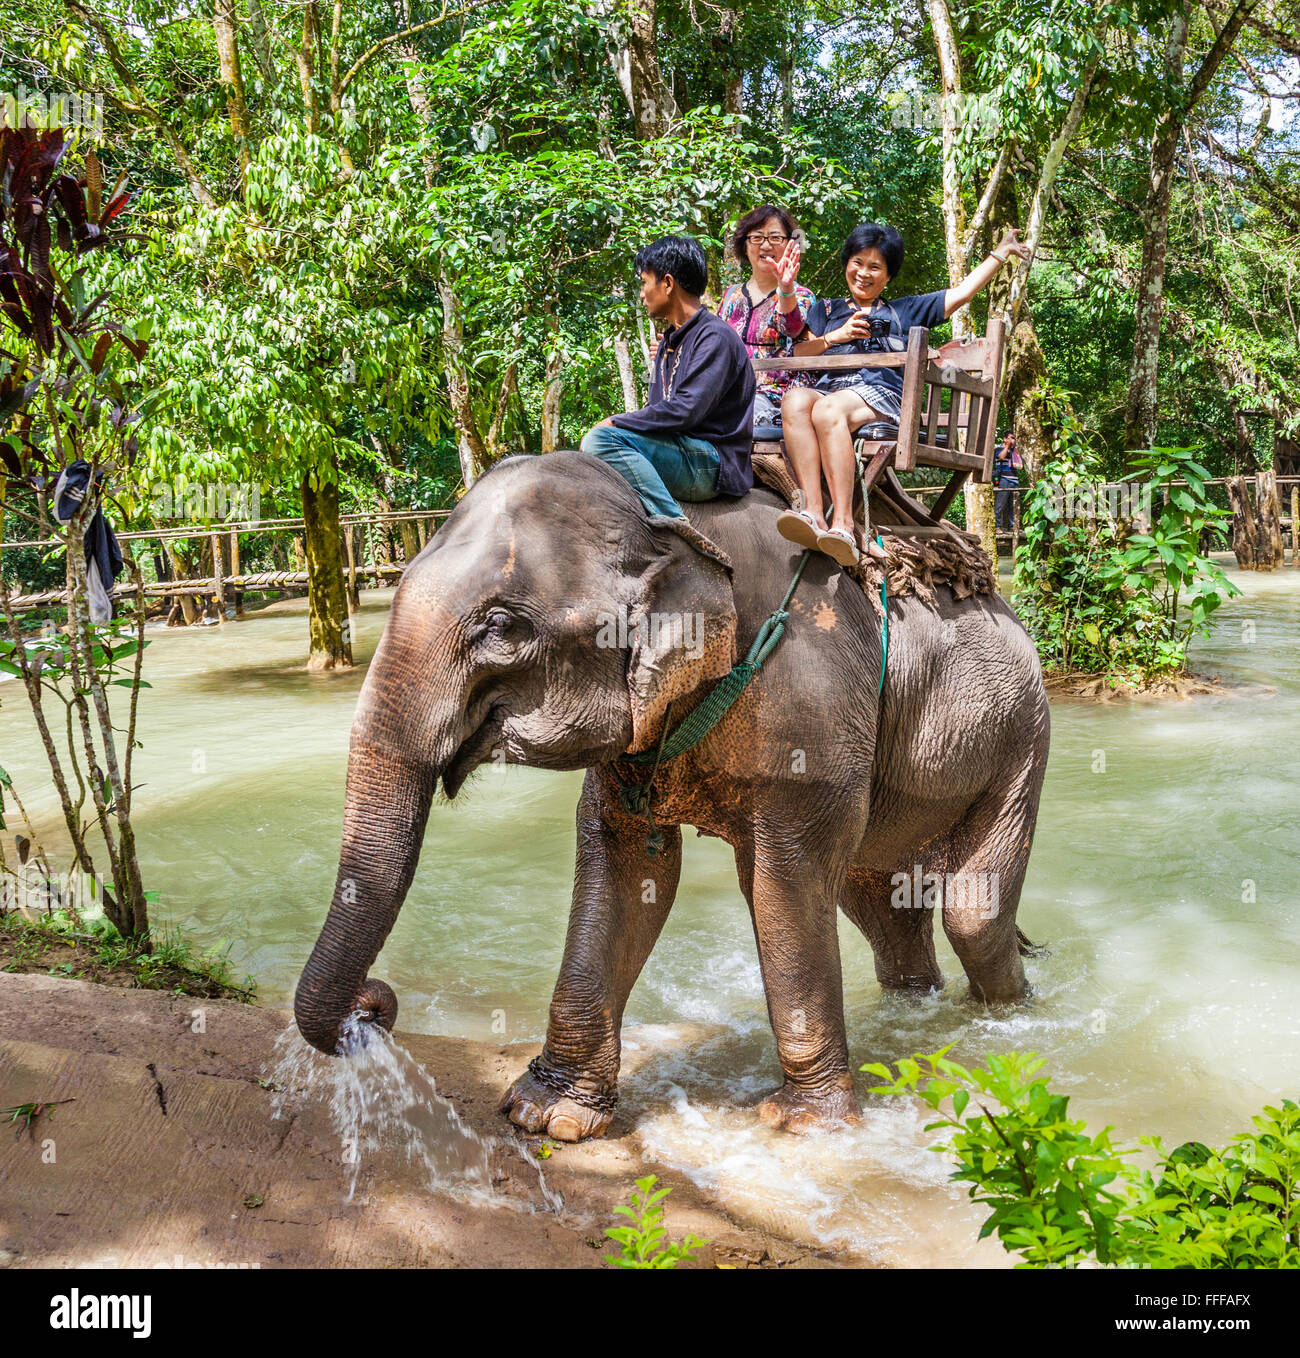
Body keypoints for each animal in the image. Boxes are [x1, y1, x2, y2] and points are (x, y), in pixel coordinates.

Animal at [294, 450, 1043, 1140]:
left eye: (500, 626)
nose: (372, 1008)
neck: (670, 523)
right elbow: (627, 870)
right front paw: (548, 1114)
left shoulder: (812, 703)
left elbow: (785, 883)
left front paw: (804, 1124)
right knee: (879, 903)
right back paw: (915, 1011)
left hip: (1020, 736)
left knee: (970, 916)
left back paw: (1013, 1023)